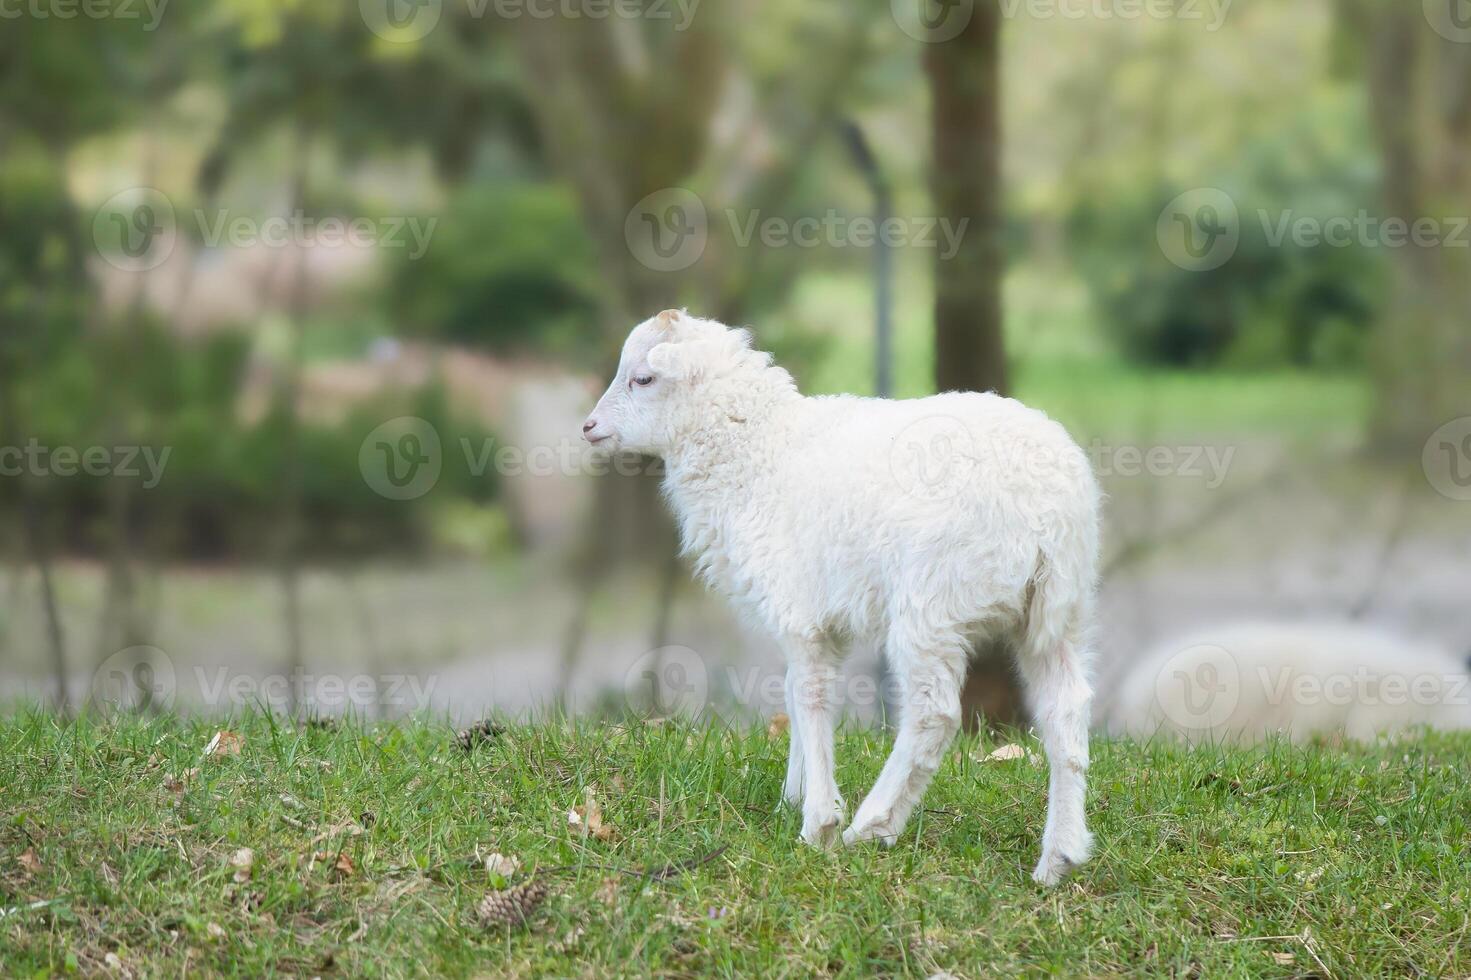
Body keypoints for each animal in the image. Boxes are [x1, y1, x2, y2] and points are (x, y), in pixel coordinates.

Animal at [579, 309, 1100, 882]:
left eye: (643, 378)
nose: (589, 428)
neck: (756, 452)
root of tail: (1051, 505)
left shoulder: (798, 608)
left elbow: (810, 699)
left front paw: (818, 822)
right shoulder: (812, 616)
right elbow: (792, 692)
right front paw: (792, 798)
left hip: (932, 603)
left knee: (934, 715)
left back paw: (872, 824)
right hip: (1057, 609)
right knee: (1066, 708)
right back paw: (1058, 857)